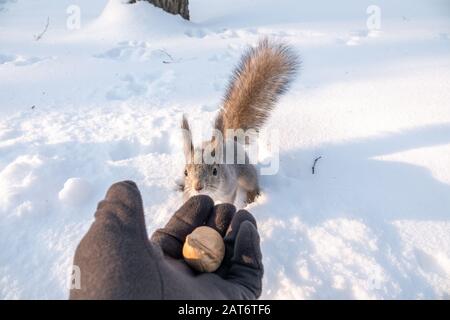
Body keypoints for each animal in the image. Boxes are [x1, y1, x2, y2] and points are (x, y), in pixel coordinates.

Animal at [179, 38, 298, 206]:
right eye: (185, 172)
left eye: (215, 171)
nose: (198, 187)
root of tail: (230, 139)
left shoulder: (229, 189)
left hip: (246, 173)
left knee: (252, 182)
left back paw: (252, 197)